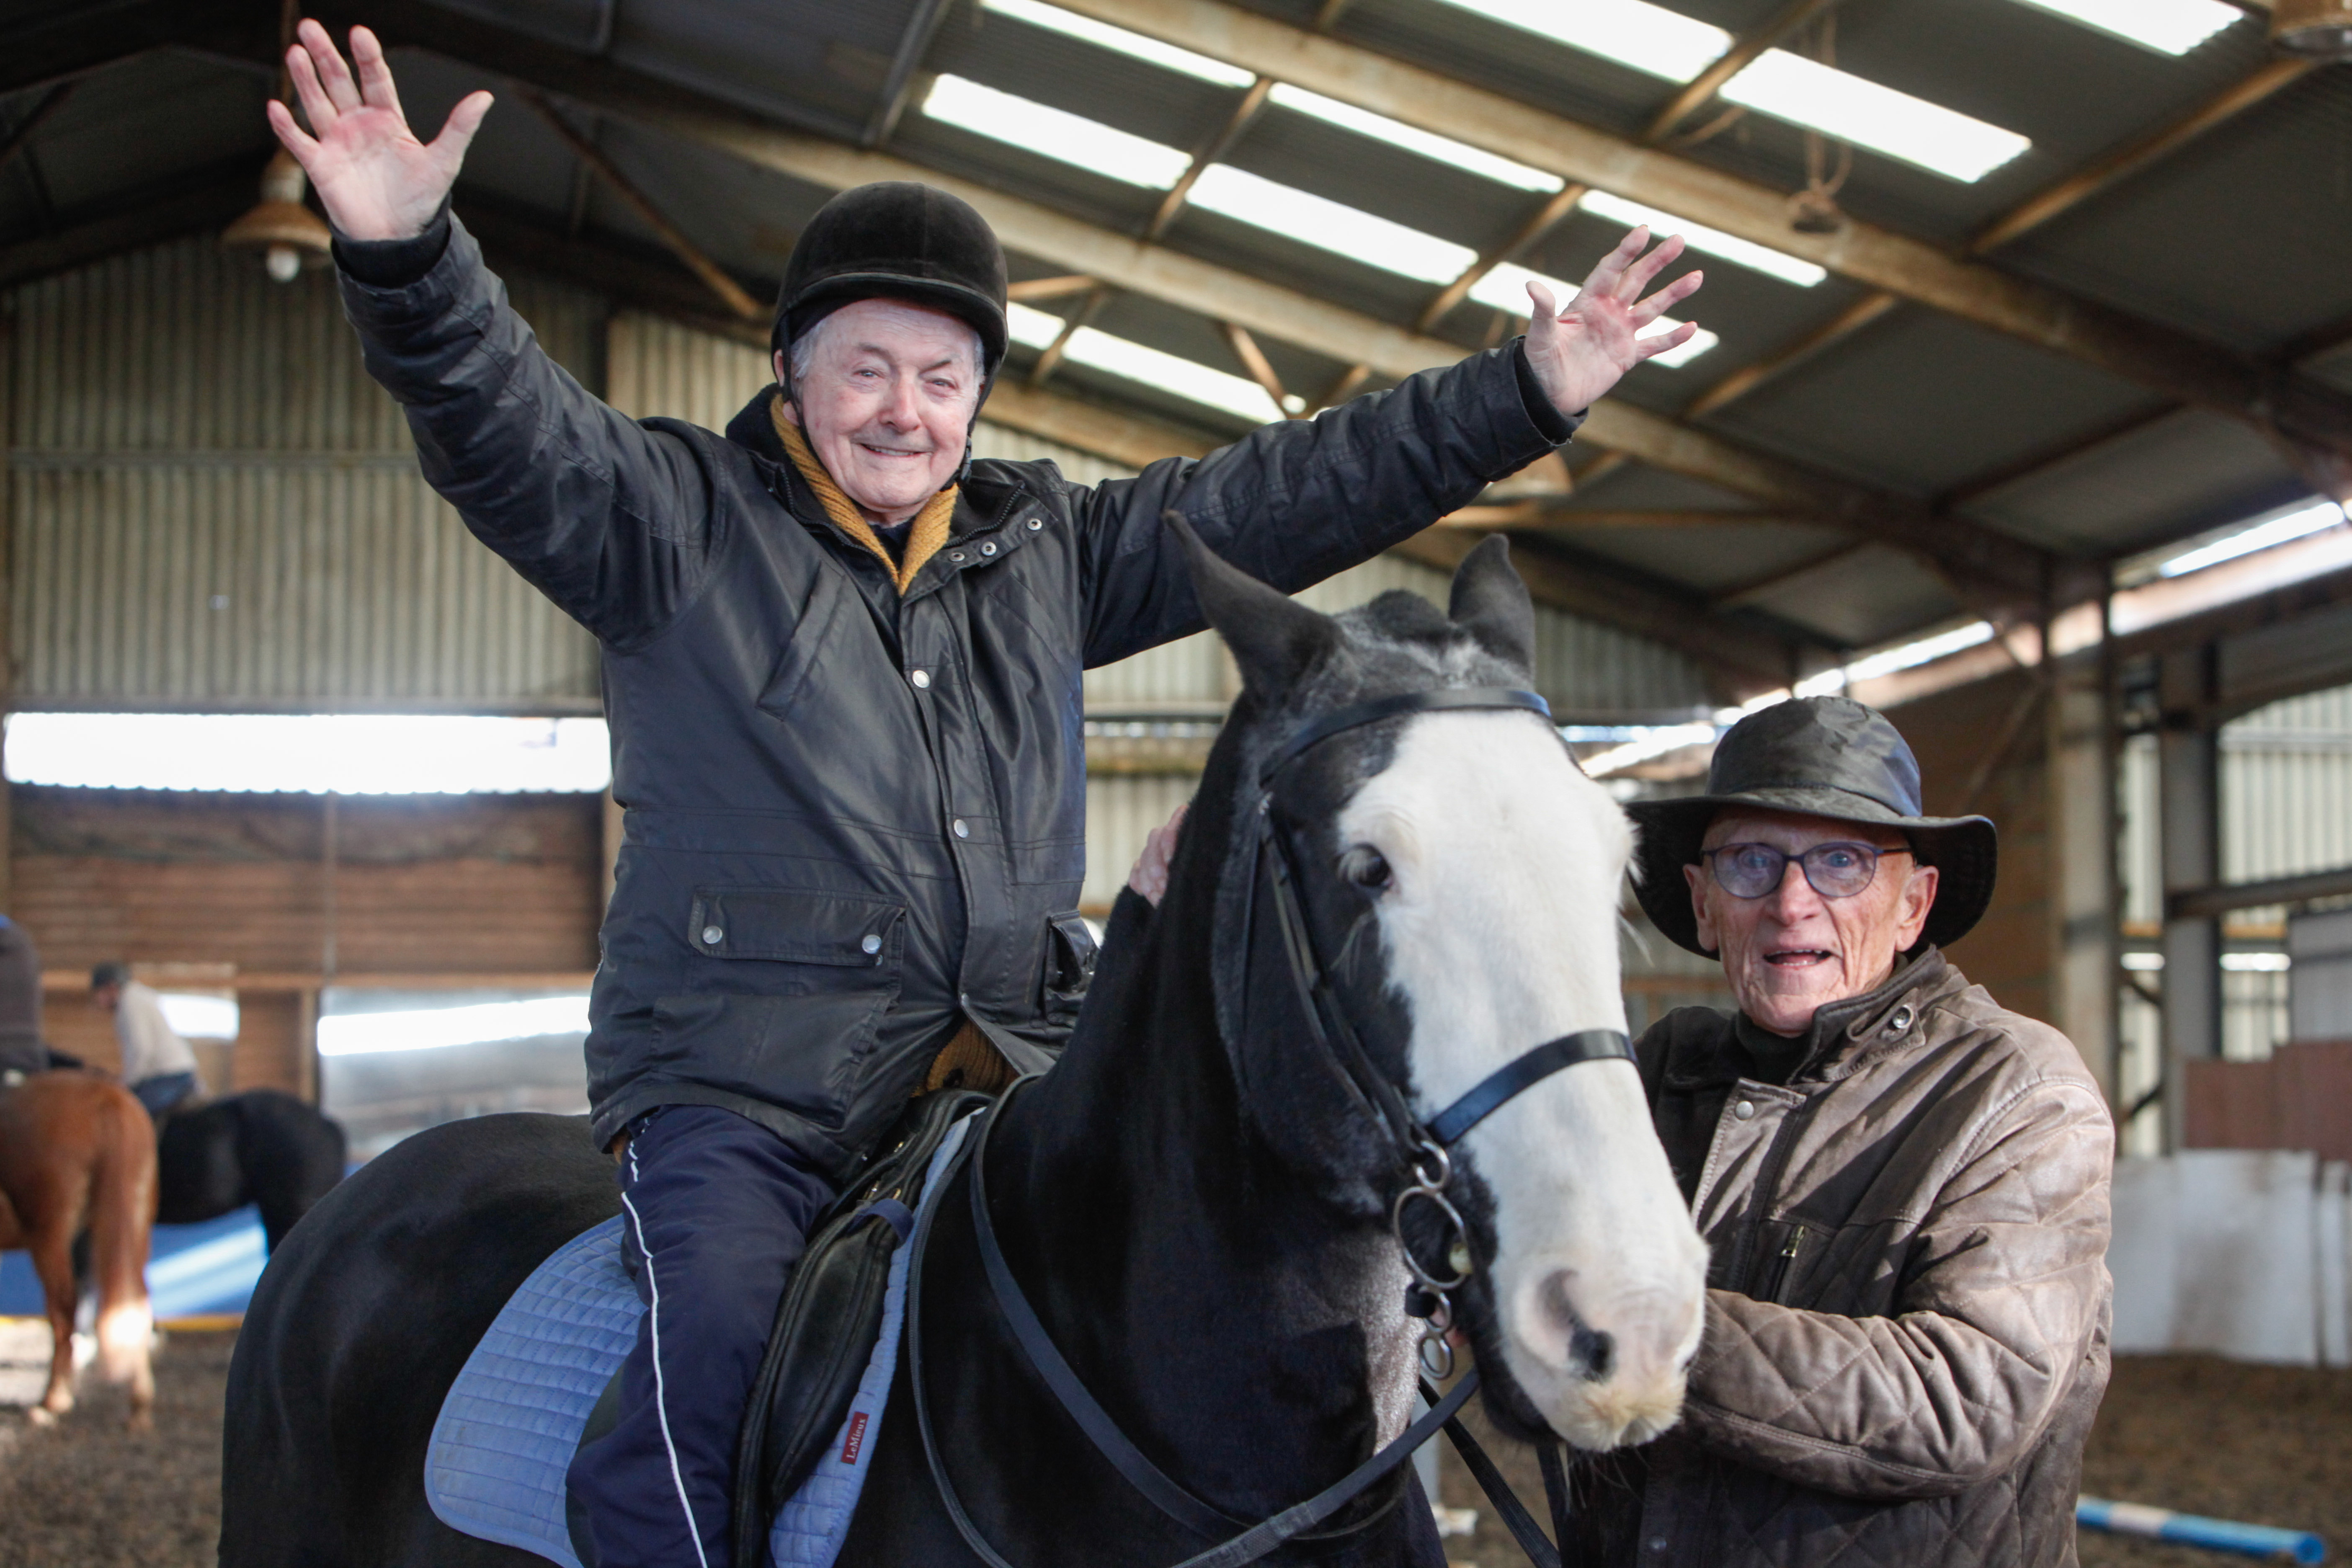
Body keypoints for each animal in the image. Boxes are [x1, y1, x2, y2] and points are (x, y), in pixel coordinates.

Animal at [0, 1071, 158, 1430]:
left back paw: (54, 1399)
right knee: (135, 1300)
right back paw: (139, 1405)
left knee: (63, 1309)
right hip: (135, 1223)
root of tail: (103, 1094)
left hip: (50, 1233)